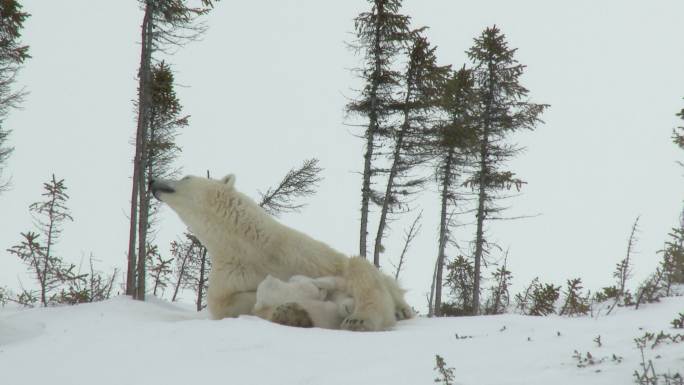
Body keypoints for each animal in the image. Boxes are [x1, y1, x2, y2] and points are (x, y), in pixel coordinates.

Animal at [152, 174, 412, 330]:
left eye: (185, 176)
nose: (154, 180)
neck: (247, 244)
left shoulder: (299, 252)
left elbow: (352, 270)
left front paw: (360, 317)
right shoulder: (230, 272)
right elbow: (226, 304)